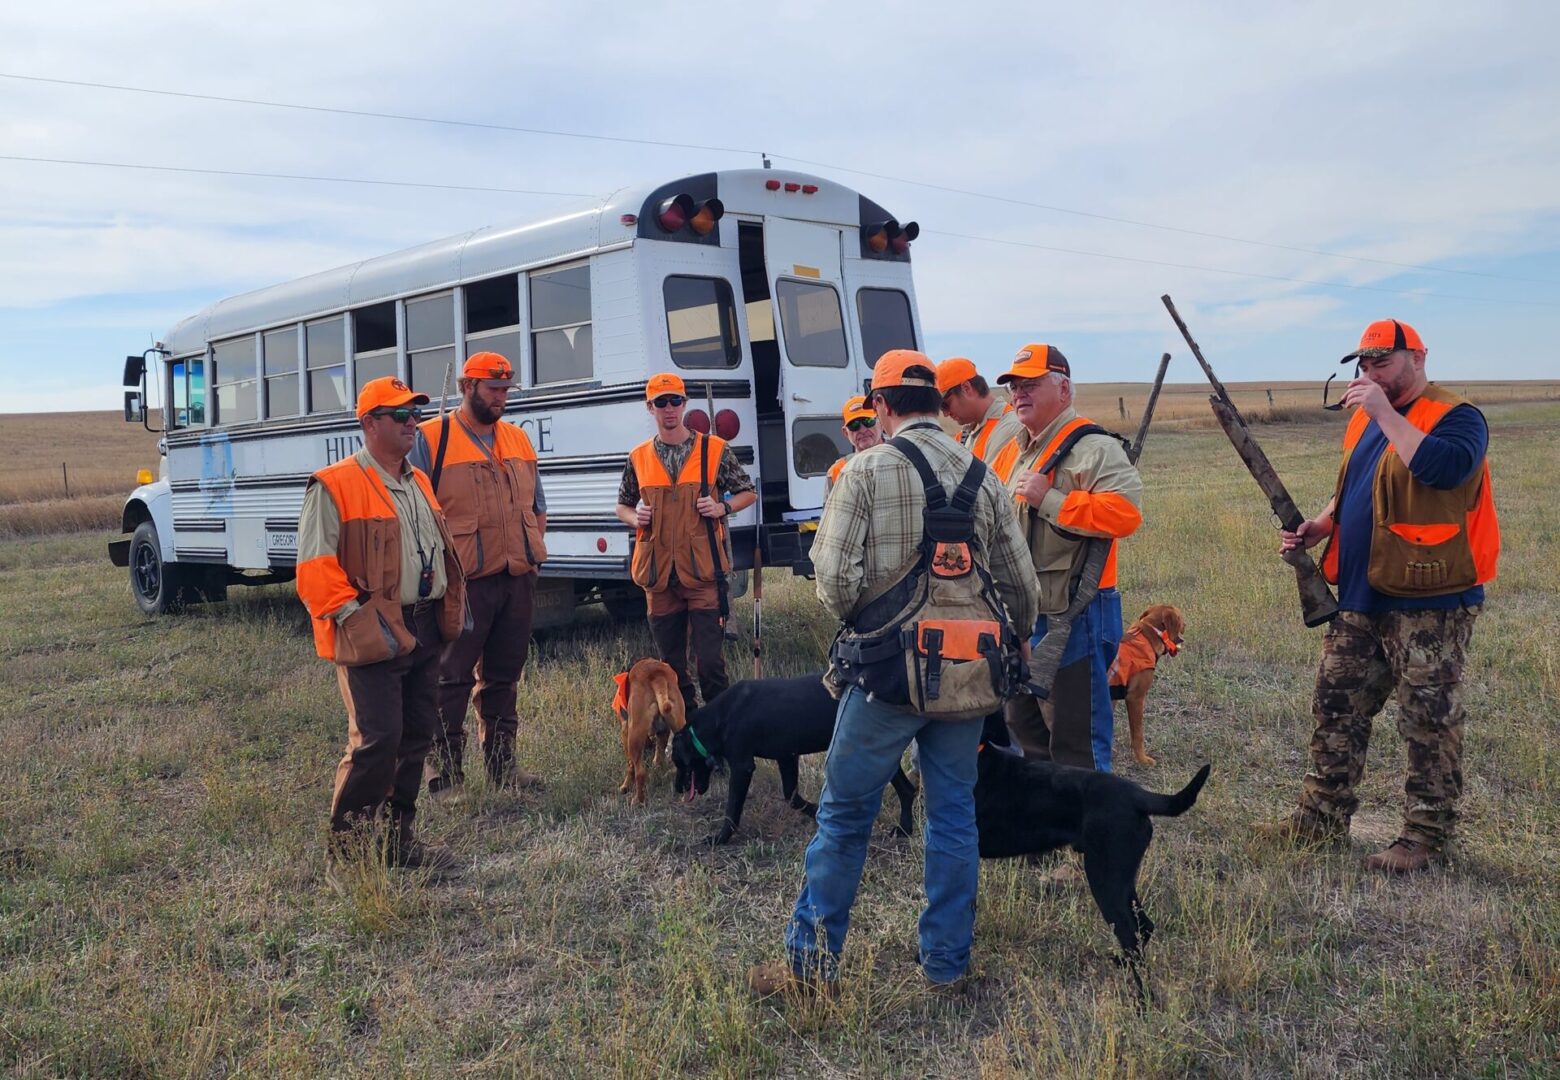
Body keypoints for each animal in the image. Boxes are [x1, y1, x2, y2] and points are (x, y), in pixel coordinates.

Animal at [605, 658, 686, 799]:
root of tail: (657, 675)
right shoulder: (662, 732)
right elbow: (658, 757)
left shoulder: (625, 731)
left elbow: (630, 765)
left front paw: (625, 786)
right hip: (679, 722)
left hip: (635, 735)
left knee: (641, 772)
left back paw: (638, 800)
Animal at [667, 674, 911, 842]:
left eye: (679, 762)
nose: (677, 788)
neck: (719, 717)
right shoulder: (787, 757)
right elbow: (792, 797)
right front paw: (816, 812)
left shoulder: (742, 767)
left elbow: (732, 811)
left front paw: (720, 838)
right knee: (909, 789)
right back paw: (904, 830)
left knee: (906, 789)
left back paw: (903, 829)